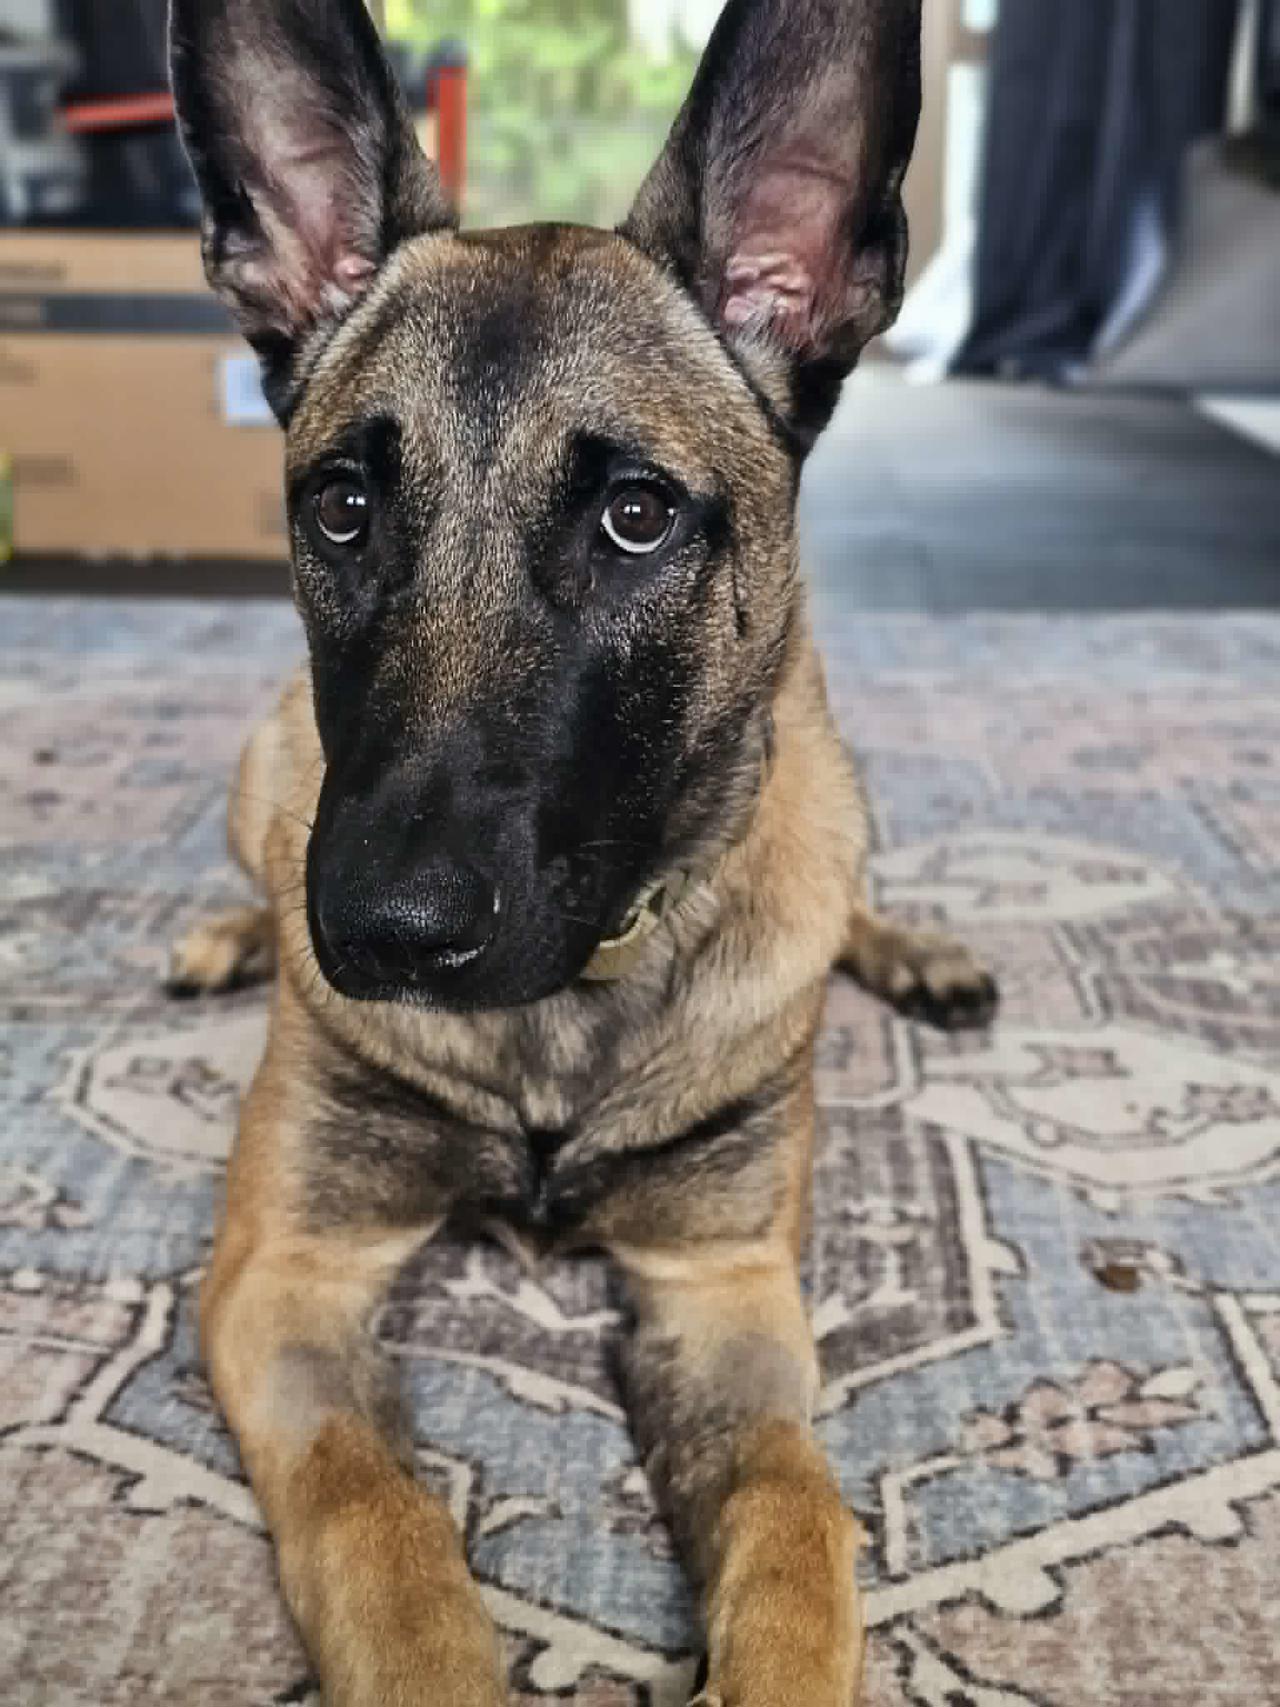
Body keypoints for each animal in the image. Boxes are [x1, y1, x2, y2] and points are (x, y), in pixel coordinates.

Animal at [167, 2, 996, 1703]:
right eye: (342, 506)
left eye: (634, 517)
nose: (384, 929)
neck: (566, 1011)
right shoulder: (290, 1270)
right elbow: (378, 1523)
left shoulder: (724, 1298)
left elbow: (799, 1521)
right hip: (259, 765)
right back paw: (230, 933)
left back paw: (915, 950)